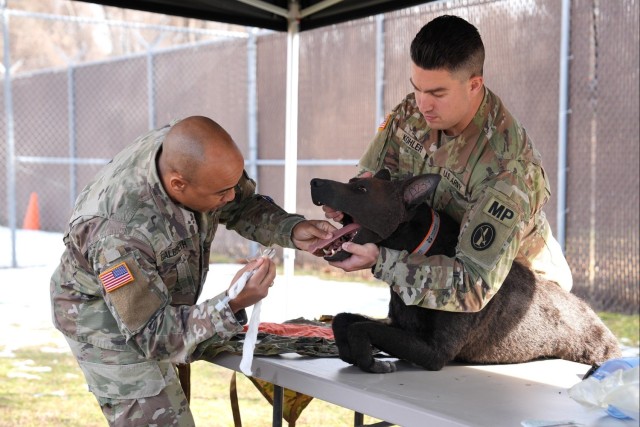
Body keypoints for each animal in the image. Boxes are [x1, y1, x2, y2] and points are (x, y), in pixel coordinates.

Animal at [308, 171, 620, 374]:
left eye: (361, 190)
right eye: (352, 182)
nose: (314, 182)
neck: (421, 251)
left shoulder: (435, 352)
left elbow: (361, 327)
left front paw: (369, 361)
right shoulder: (398, 325)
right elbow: (343, 319)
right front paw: (352, 353)